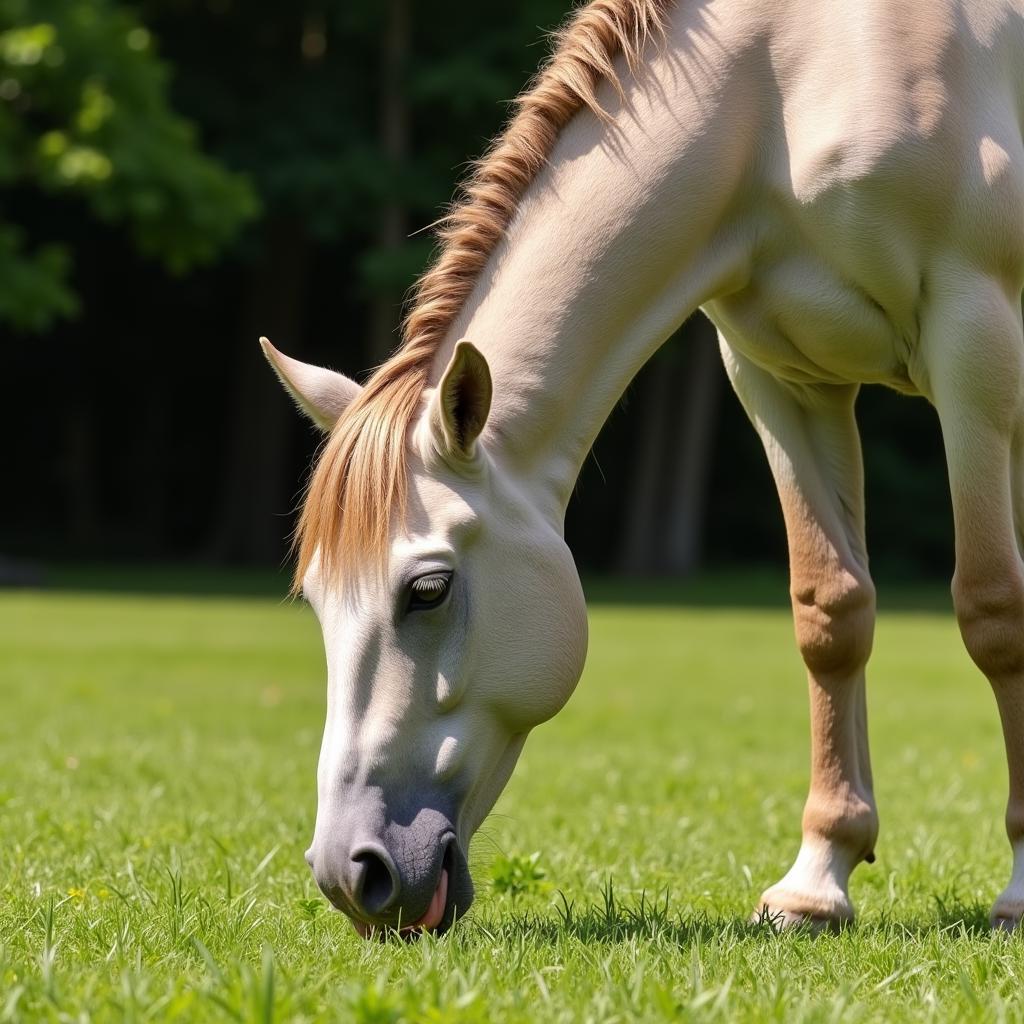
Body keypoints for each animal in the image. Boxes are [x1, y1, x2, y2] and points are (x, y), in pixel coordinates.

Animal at [260, 0, 1024, 933]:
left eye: (429, 590)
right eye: (317, 597)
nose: (352, 872)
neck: (789, 82)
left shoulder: (973, 342)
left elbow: (993, 610)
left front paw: (1020, 890)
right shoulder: (781, 379)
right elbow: (832, 614)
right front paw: (816, 884)